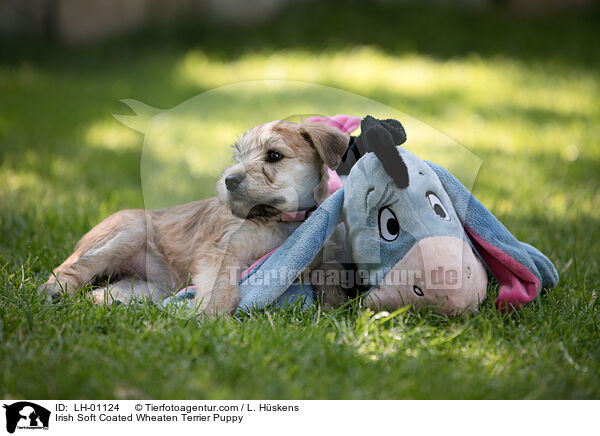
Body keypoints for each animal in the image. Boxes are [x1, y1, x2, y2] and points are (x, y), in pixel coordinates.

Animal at [37, 120, 350, 314]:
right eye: (238, 156)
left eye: (274, 155)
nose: (229, 180)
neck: (282, 220)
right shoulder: (221, 250)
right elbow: (221, 285)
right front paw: (211, 315)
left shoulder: (326, 257)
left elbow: (331, 280)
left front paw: (335, 309)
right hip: (127, 232)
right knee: (71, 268)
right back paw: (51, 292)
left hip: (150, 287)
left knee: (106, 292)